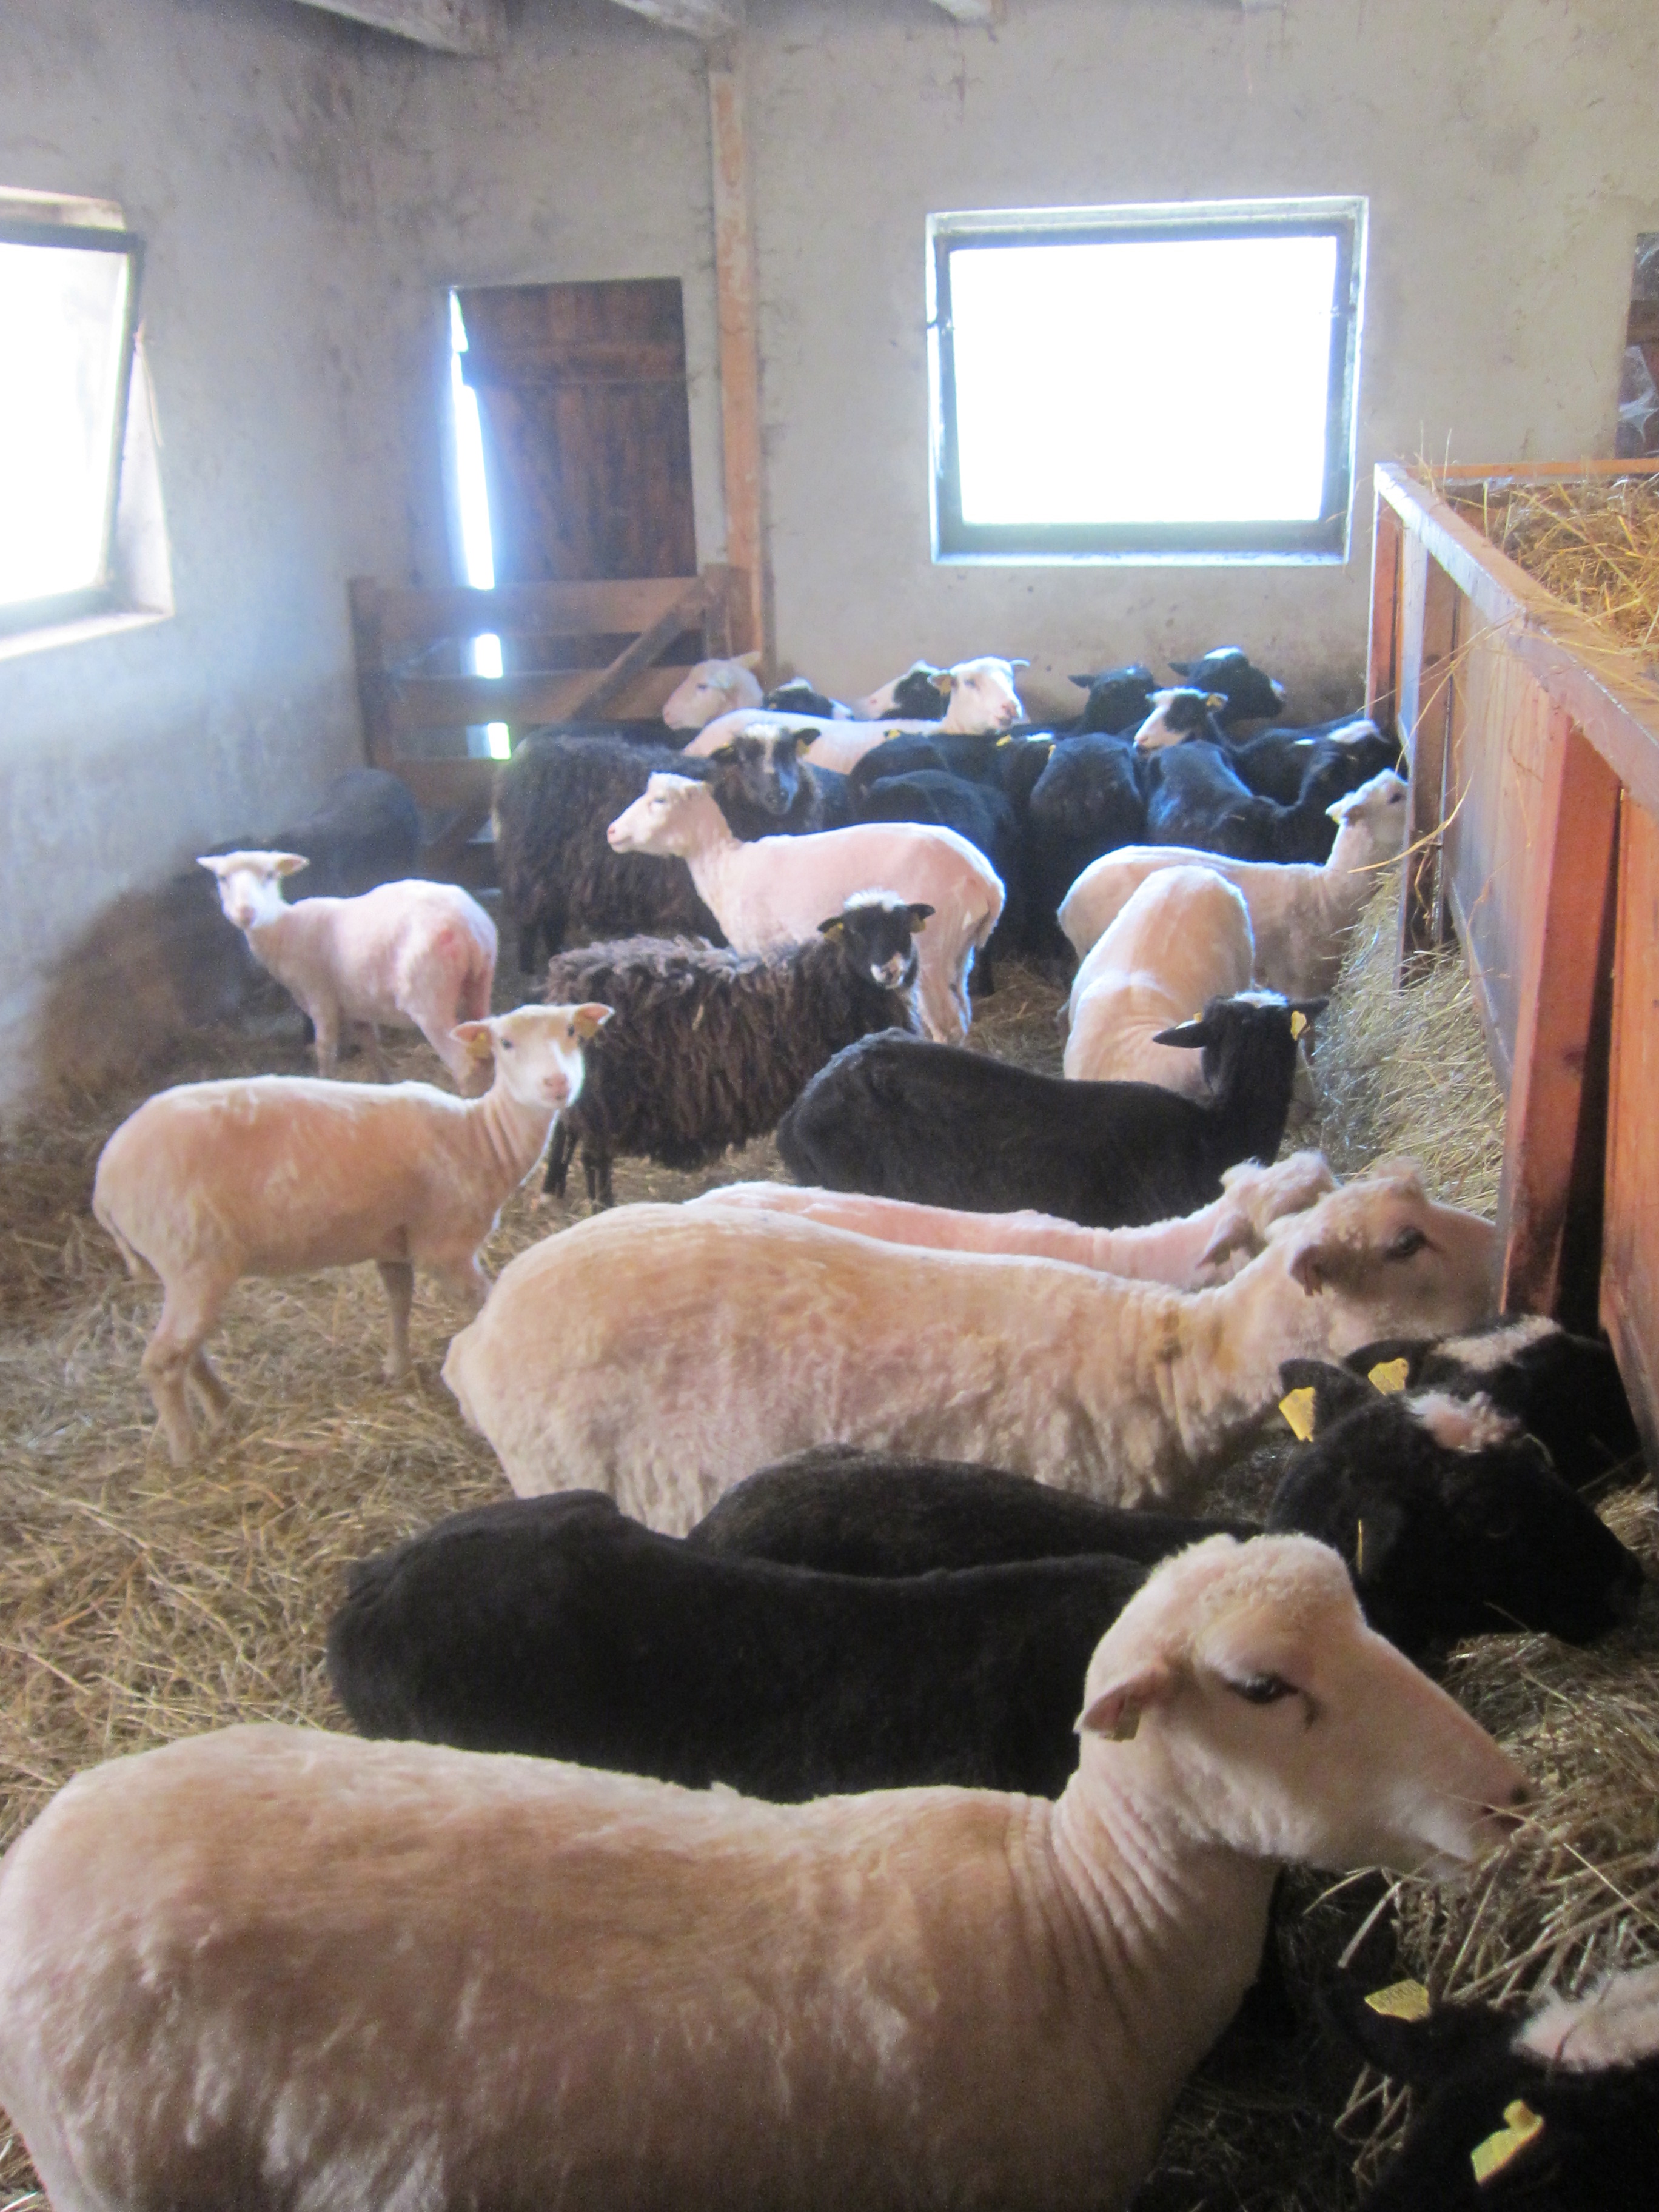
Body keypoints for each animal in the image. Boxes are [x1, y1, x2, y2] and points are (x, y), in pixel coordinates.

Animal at [92, 1003, 610, 1465]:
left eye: (571, 1031)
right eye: (505, 1043)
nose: (557, 1083)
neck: (482, 1136)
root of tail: (104, 1182)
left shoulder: (394, 1239)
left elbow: (399, 1300)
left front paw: (397, 1369)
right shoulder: (446, 1248)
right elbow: (487, 1305)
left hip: (183, 1270)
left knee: (188, 1350)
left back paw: (224, 1410)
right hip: (192, 1259)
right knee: (161, 1362)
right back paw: (187, 1453)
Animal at [198, 853, 498, 1093]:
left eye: (270, 875)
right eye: (222, 878)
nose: (246, 913)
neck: (282, 928)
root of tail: (467, 925)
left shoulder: (320, 999)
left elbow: (325, 1050)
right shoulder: (358, 1006)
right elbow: (371, 1046)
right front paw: (386, 1084)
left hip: (429, 998)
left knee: (466, 1067)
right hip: (480, 982)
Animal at [538, 892, 926, 1206]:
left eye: (903, 930)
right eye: (856, 933)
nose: (889, 970)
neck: (825, 980)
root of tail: (567, 978)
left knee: (565, 1129)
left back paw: (551, 1188)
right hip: (605, 1099)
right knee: (593, 1158)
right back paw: (599, 1207)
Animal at [606, 771, 1003, 1042]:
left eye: (659, 801)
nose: (611, 832)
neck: (724, 867)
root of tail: (986, 880)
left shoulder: (759, 947)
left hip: (931, 951)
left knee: (947, 1026)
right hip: (959, 951)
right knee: (963, 1011)